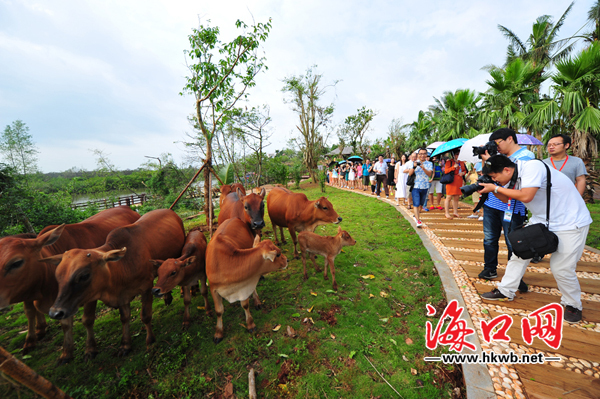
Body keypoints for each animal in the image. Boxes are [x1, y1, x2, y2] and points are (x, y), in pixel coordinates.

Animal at [0, 208, 139, 364]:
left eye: (16, 263)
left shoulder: (89, 294)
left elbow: (87, 320)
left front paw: (90, 349)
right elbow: (40, 316)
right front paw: (63, 352)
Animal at [44, 209, 184, 360]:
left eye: (84, 275)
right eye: (57, 276)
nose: (55, 312)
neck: (124, 264)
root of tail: (169, 210)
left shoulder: (147, 287)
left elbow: (145, 316)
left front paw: (150, 340)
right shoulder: (122, 294)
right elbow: (124, 317)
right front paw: (125, 345)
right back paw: (167, 297)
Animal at [206, 217, 288, 346]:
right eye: (278, 254)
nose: (287, 260)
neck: (224, 264)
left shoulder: (244, 282)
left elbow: (245, 304)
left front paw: (250, 324)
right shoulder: (213, 288)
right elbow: (219, 311)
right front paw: (218, 333)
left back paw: (257, 301)